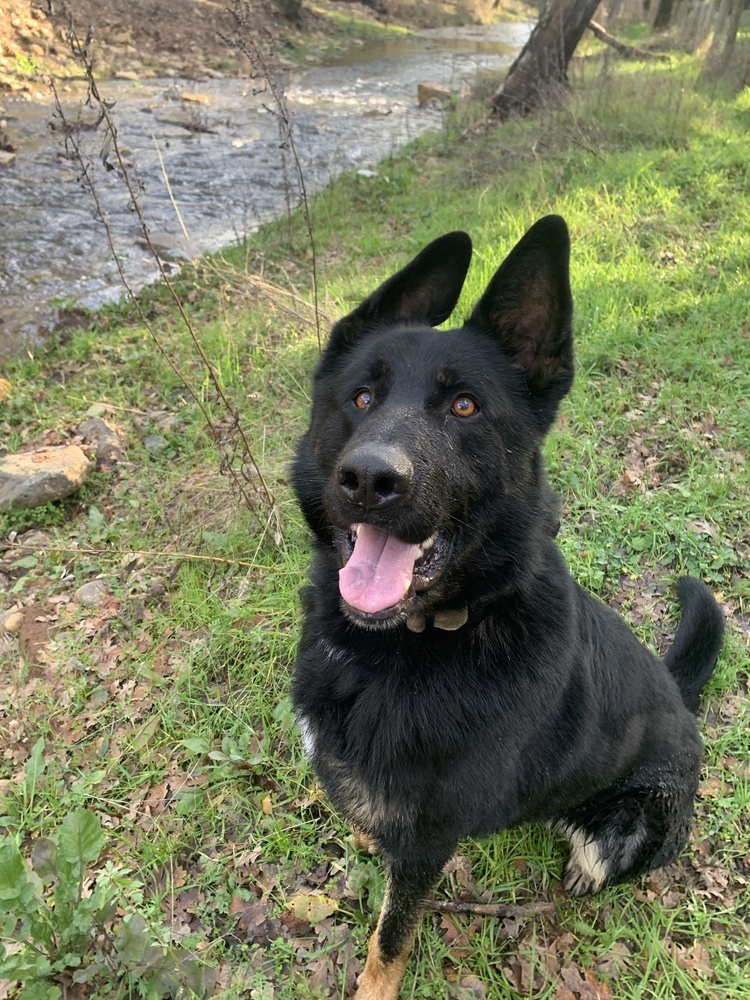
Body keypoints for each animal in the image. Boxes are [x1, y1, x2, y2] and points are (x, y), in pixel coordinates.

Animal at [290, 219, 724, 1000]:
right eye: (361, 398)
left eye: (464, 406)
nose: (369, 479)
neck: (411, 643)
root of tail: (681, 700)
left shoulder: (427, 843)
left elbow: (388, 938)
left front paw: (373, 984)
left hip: (635, 821)